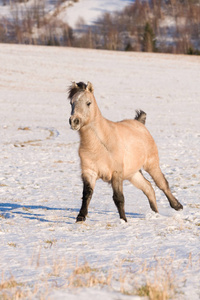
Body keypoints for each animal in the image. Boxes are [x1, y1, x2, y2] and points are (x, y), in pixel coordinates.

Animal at [68, 81, 183, 221]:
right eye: (71, 103)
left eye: (88, 103)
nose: (74, 121)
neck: (100, 145)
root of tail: (140, 124)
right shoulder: (89, 172)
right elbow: (87, 194)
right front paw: (81, 217)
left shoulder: (116, 173)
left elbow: (118, 198)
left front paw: (124, 220)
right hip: (133, 174)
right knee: (148, 188)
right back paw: (156, 214)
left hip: (151, 165)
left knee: (162, 184)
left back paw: (177, 206)